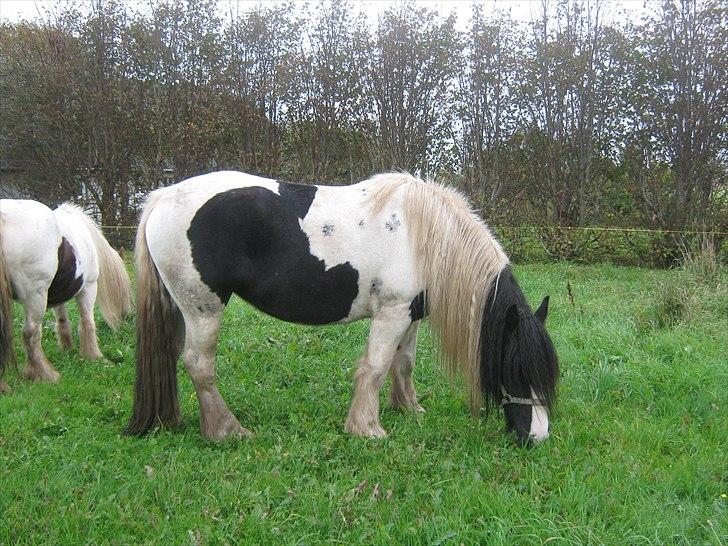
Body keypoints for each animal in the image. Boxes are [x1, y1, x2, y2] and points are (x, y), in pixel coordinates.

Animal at [0, 198, 132, 384]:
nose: (127, 316)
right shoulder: (89, 288)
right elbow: (87, 322)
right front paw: (94, 356)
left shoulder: (57, 295)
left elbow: (62, 321)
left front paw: (67, 349)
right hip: (36, 297)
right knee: (30, 333)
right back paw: (45, 375)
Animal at [123, 171, 556, 442]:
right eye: (517, 370)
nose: (536, 437)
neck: (425, 237)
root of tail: (161, 199)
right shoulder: (392, 313)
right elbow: (376, 366)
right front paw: (367, 428)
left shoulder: (409, 315)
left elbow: (404, 363)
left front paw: (408, 409)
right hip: (204, 309)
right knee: (199, 365)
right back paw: (227, 431)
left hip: (181, 309)